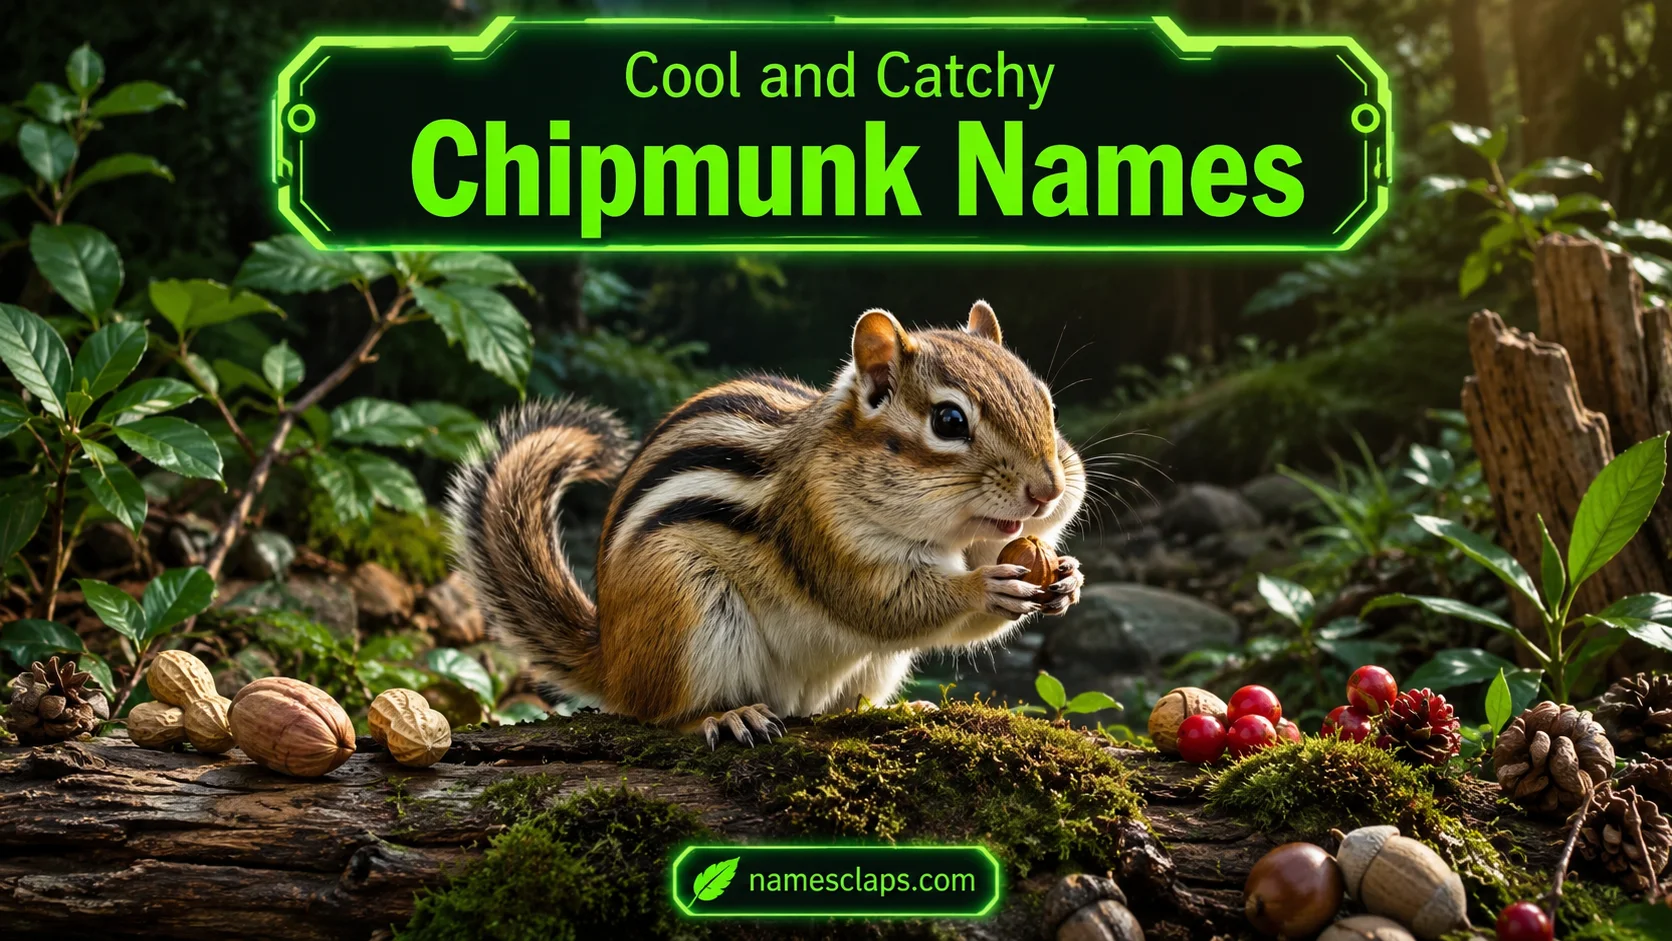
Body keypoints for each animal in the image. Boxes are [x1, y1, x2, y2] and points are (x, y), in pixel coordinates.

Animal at [446, 301, 1087, 746]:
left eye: (1047, 402)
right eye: (950, 421)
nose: (1049, 491)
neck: (947, 534)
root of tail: (611, 656)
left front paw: (1068, 578)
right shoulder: (821, 533)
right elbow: (883, 605)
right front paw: (987, 587)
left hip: (874, 665)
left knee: (842, 704)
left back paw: (899, 708)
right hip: (686, 606)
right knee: (658, 714)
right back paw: (726, 716)